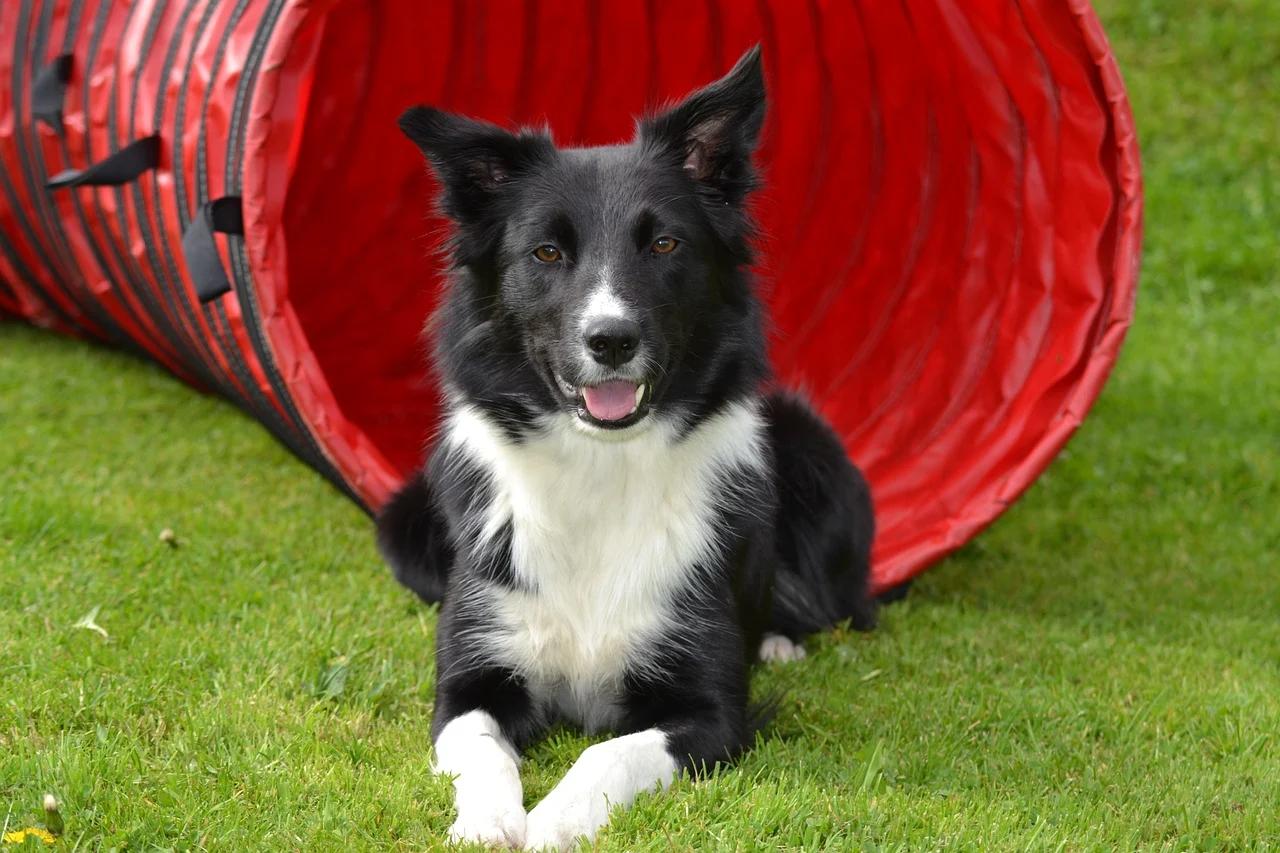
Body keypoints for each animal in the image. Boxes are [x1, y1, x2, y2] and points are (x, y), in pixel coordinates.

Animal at [376, 48, 880, 850]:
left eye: (665, 243)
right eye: (547, 251)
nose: (610, 340)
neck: (599, 463)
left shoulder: (707, 709)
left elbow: (607, 753)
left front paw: (551, 823)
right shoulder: (469, 682)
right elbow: (481, 748)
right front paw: (488, 823)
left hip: (818, 460)